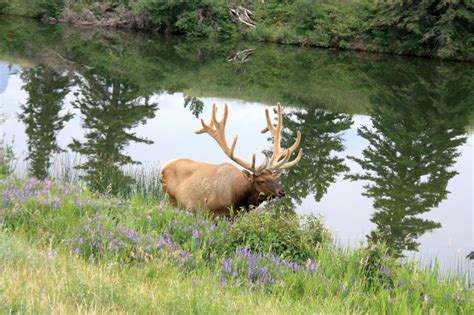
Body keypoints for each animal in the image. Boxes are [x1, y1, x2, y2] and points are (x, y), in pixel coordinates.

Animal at [158, 103, 300, 217]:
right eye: (262, 180)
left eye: (275, 178)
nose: (282, 191)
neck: (237, 200)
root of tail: (164, 167)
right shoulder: (211, 213)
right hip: (170, 198)